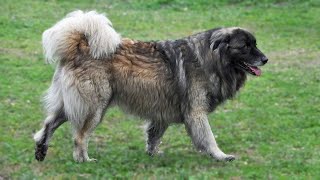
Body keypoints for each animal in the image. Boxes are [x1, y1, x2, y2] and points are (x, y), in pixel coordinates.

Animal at [33, 10, 268, 162]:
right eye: (244, 46)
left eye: (255, 44)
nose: (265, 59)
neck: (210, 58)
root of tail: (80, 45)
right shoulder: (196, 112)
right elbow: (208, 138)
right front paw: (220, 156)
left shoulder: (162, 112)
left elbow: (154, 136)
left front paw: (153, 155)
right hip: (94, 107)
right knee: (79, 136)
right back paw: (84, 160)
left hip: (76, 105)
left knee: (49, 124)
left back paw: (41, 150)